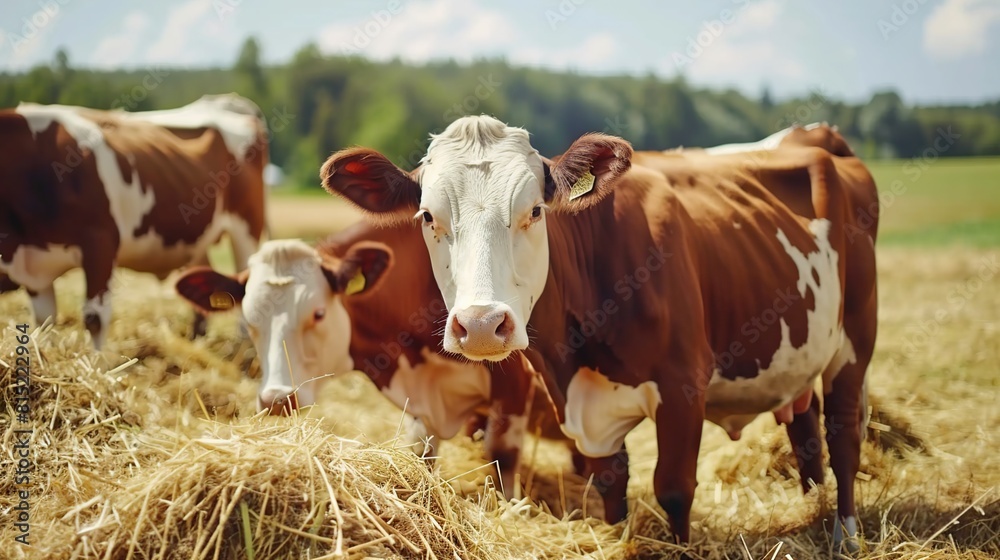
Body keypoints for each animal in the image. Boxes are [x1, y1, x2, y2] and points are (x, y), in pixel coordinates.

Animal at [172, 220, 580, 494]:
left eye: (318, 313)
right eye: (250, 320)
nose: (277, 400)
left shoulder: (515, 386)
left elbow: (503, 460)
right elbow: (421, 456)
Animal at [324, 115, 880, 552]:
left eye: (535, 211)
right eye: (427, 216)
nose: (482, 324)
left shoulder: (683, 385)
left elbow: (674, 487)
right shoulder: (577, 406)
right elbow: (611, 489)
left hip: (855, 343)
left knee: (844, 437)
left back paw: (845, 536)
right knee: (807, 433)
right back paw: (810, 508)